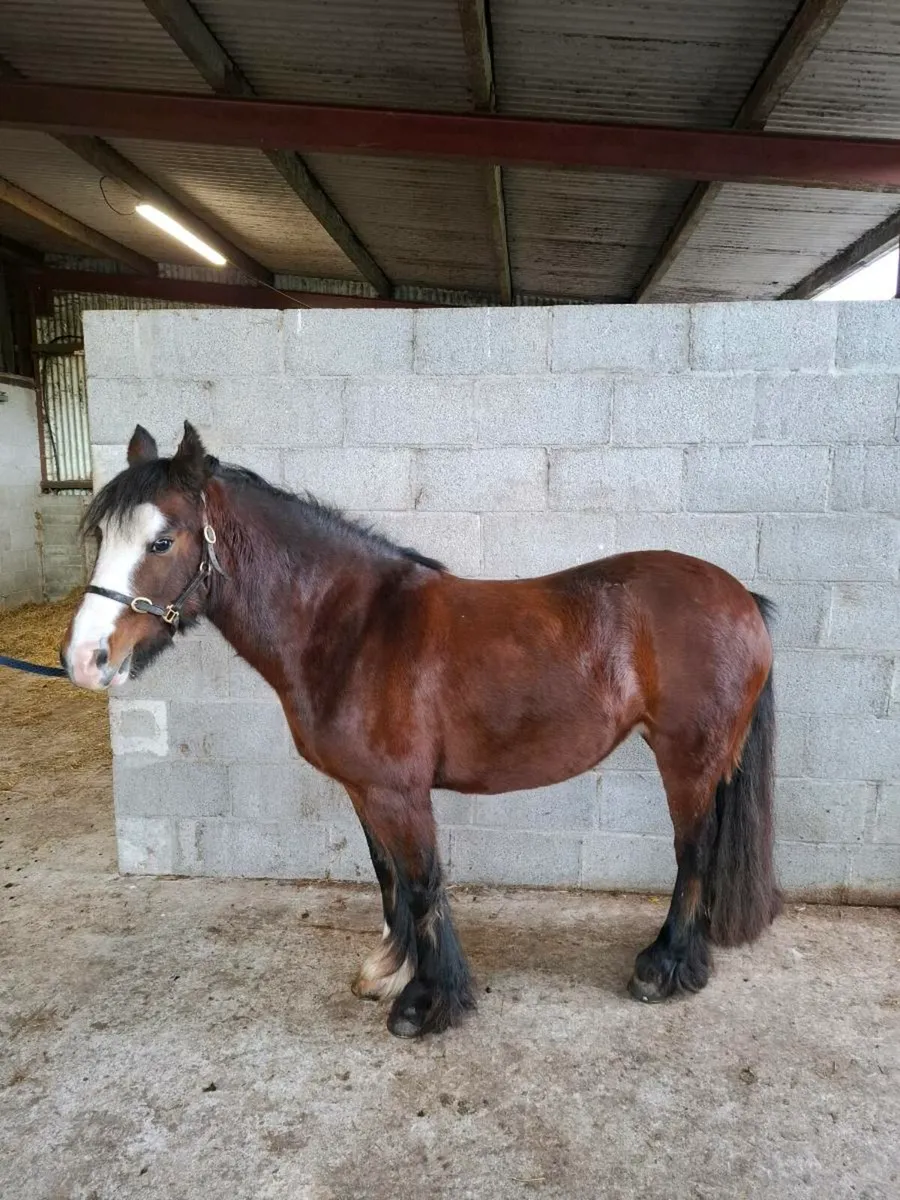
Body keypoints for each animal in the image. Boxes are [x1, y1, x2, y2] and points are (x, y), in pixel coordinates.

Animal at [61, 421, 781, 1039]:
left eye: (161, 541)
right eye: (101, 540)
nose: (84, 659)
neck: (351, 628)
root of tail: (741, 597)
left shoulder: (401, 792)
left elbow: (422, 882)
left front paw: (428, 1002)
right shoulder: (365, 789)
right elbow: (388, 880)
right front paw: (391, 971)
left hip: (685, 762)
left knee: (693, 852)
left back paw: (666, 967)